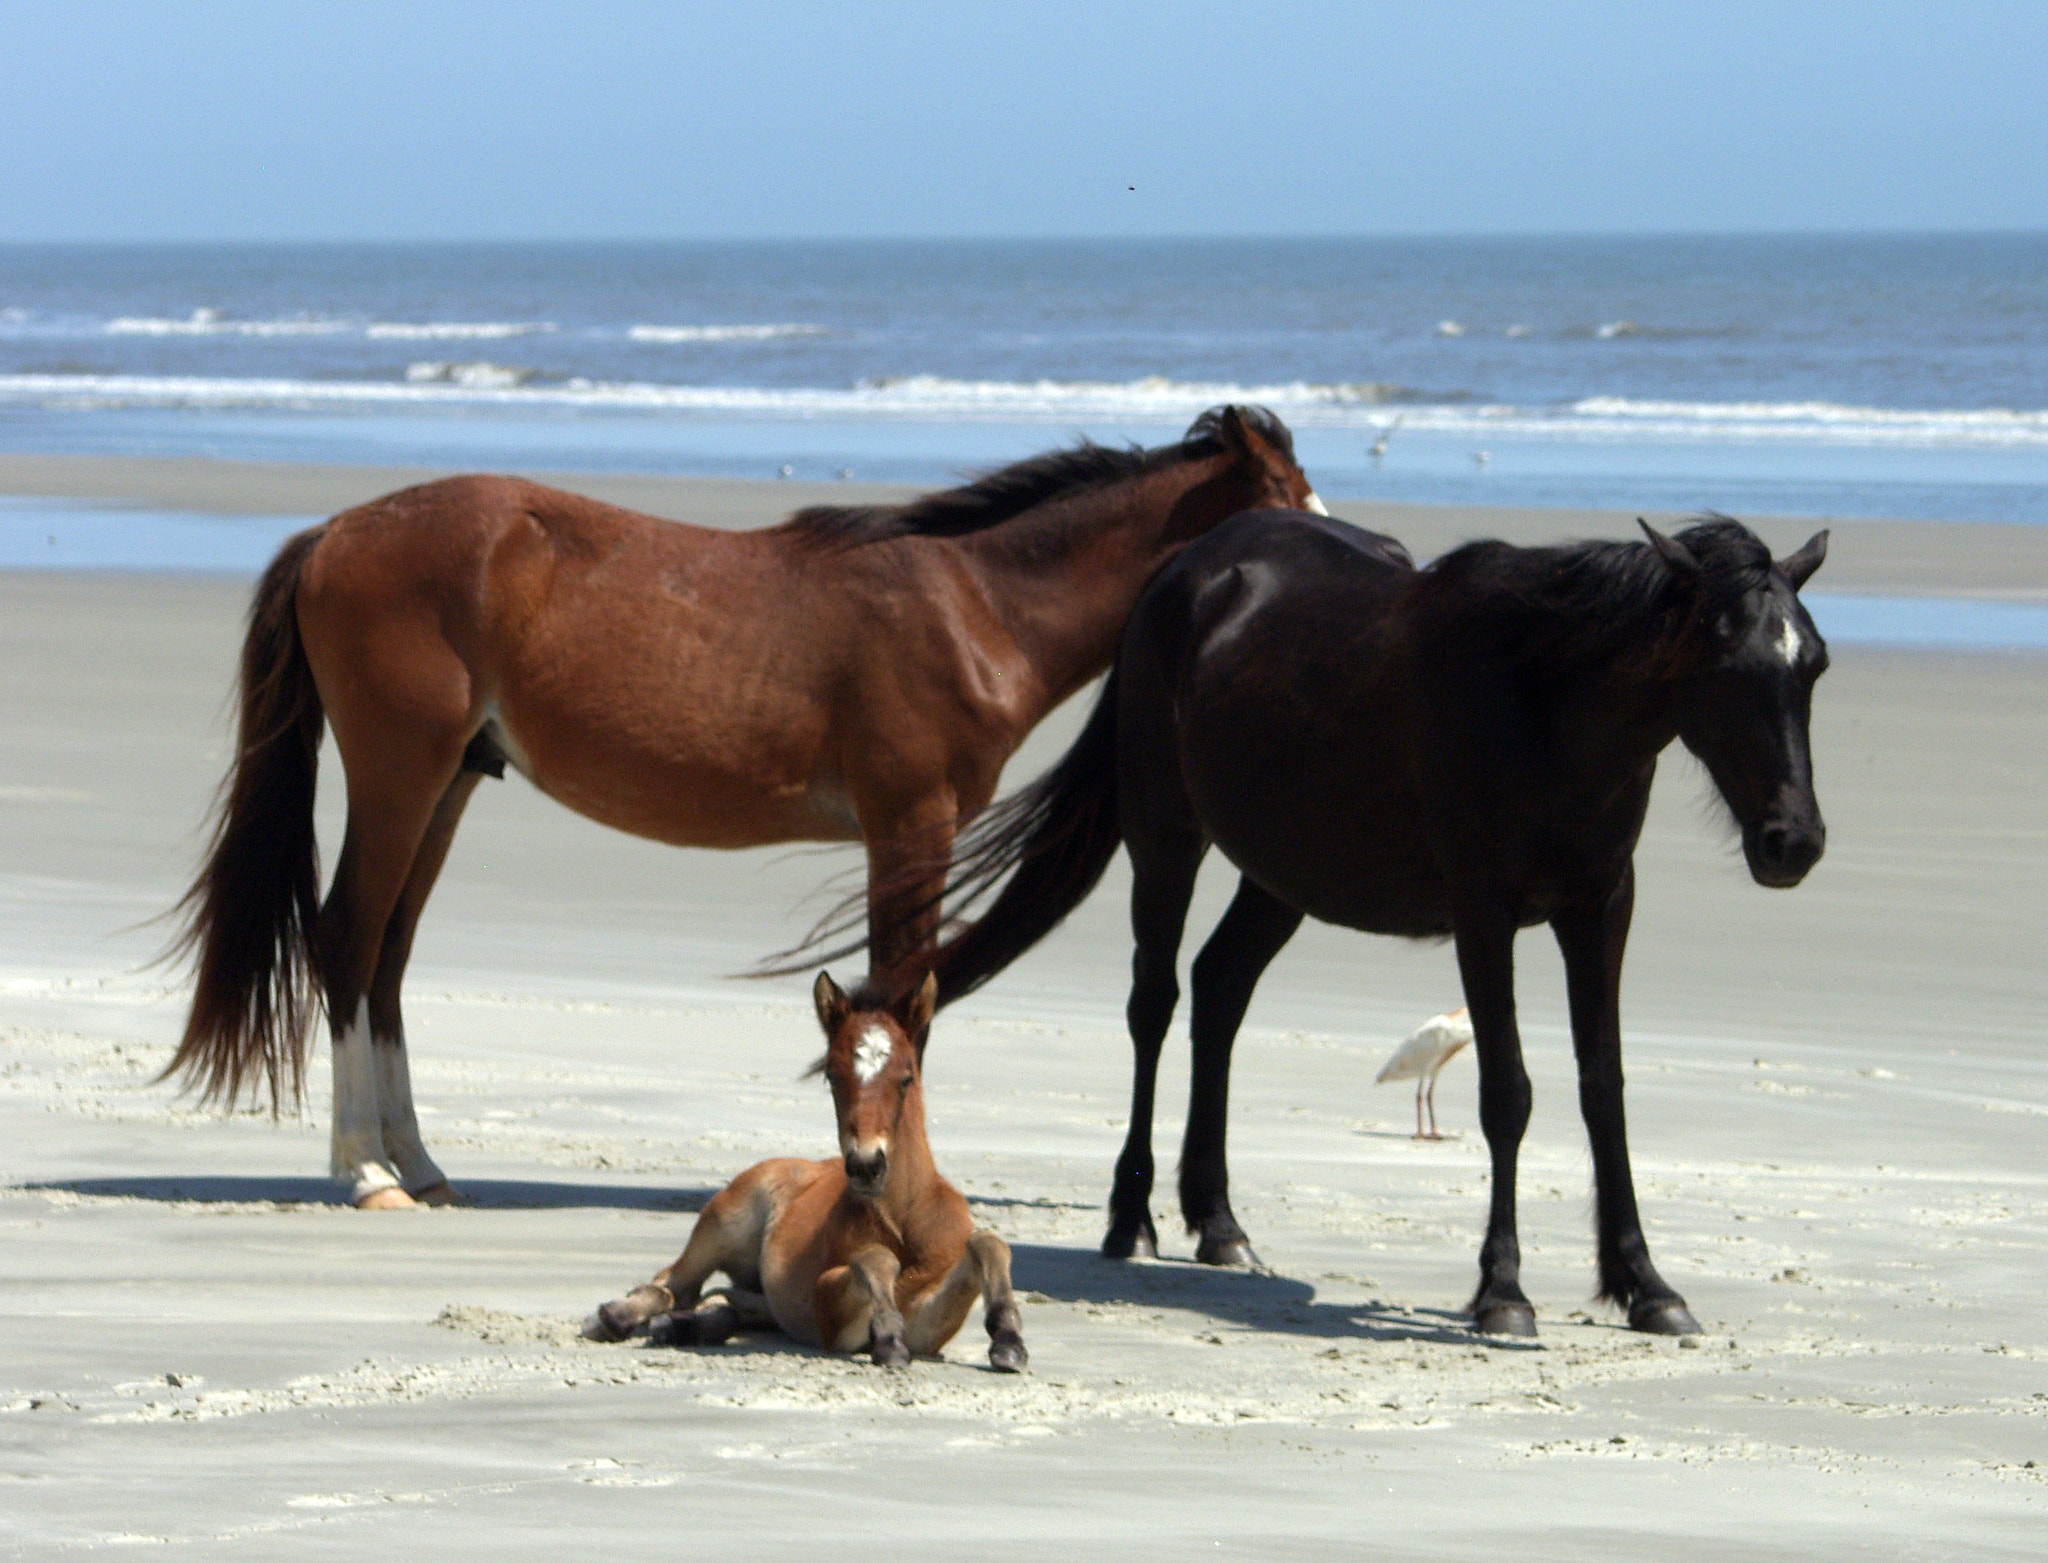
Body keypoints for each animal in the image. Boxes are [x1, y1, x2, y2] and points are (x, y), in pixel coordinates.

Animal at [162, 406, 1321, 1208]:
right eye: (1285, 494)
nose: (1336, 555)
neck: (975, 605)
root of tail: (334, 533)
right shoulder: (912, 826)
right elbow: (904, 993)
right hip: (401, 775)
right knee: (348, 941)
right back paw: (366, 1173)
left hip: (445, 785)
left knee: (388, 960)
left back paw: (421, 1164)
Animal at [583, 971, 1027, 1371]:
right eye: (831, 1076)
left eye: (906, 1077)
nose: (866, 1165)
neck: (904, 1221)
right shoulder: (827, 1313)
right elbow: (874, 1257)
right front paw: (887, 1338)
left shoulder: (930, 1326)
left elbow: (988, 1242)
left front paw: (1009, 1342)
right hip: (721, 1222)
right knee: (673, 1284)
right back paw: (614, 1317)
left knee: (724, 1300)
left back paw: (683, 1326)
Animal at [900, 509, 1830, 1337]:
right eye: (1724, 661)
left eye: (1813, 664)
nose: (1794, 841)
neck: (1544, 702)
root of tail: (1185, 568)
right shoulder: (1484, 913)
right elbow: (1508, 1093)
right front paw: (1503, 1291)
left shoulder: (1601, 908)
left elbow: (1605, 1090)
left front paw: (1646, 1286)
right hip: (1165, 837)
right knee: (1154, 1003)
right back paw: (1132, 1216)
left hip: (1284, 873)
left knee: (1219, 988)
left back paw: (1219, 1224)